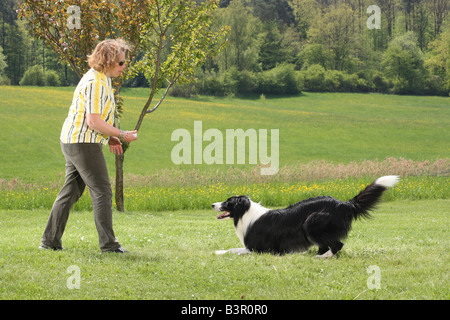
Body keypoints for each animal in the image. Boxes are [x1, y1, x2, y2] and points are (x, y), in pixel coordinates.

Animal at [213, 175, 400, 258]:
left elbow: (235, 250)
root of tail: (344, 203)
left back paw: (322, 257)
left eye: (228, 202)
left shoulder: (260, 249)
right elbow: (233, 248)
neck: (245, 213)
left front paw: (218, 251)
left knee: (337, 245)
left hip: (312, 222)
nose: (213, 204)